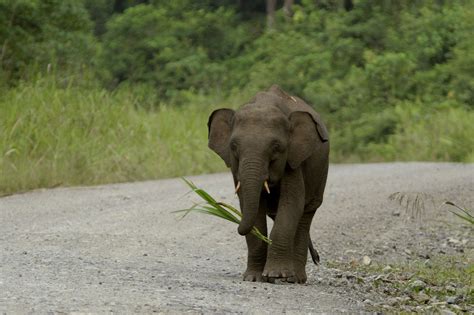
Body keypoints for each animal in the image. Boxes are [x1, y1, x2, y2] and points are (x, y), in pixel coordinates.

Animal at [207, 84, 330, 284]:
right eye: (233, 146)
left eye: (276, 147)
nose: (318, 258)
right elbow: (251, 208)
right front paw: (253, 278)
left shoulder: (294, 160)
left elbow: (291, 204)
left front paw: (275, 275)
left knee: (305, 216)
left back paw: (295, 279)